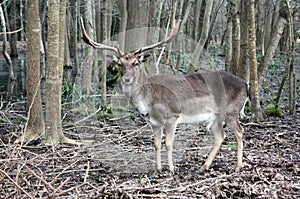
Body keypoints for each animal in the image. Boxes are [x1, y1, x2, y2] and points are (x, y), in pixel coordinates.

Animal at [80, 17, 248, 175]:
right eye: (120, 63)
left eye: (136, 63)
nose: (127, 78)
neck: (148, 102)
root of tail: (245, 84)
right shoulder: (154, 122)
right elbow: (156, 144)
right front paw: (157, 170)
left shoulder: (172, 117)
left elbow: (168, 143)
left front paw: (171, 169)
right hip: (215, 116)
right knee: (221, 136)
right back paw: (203, 167)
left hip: (231, 111)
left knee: (240, 131)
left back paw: (237, 166)